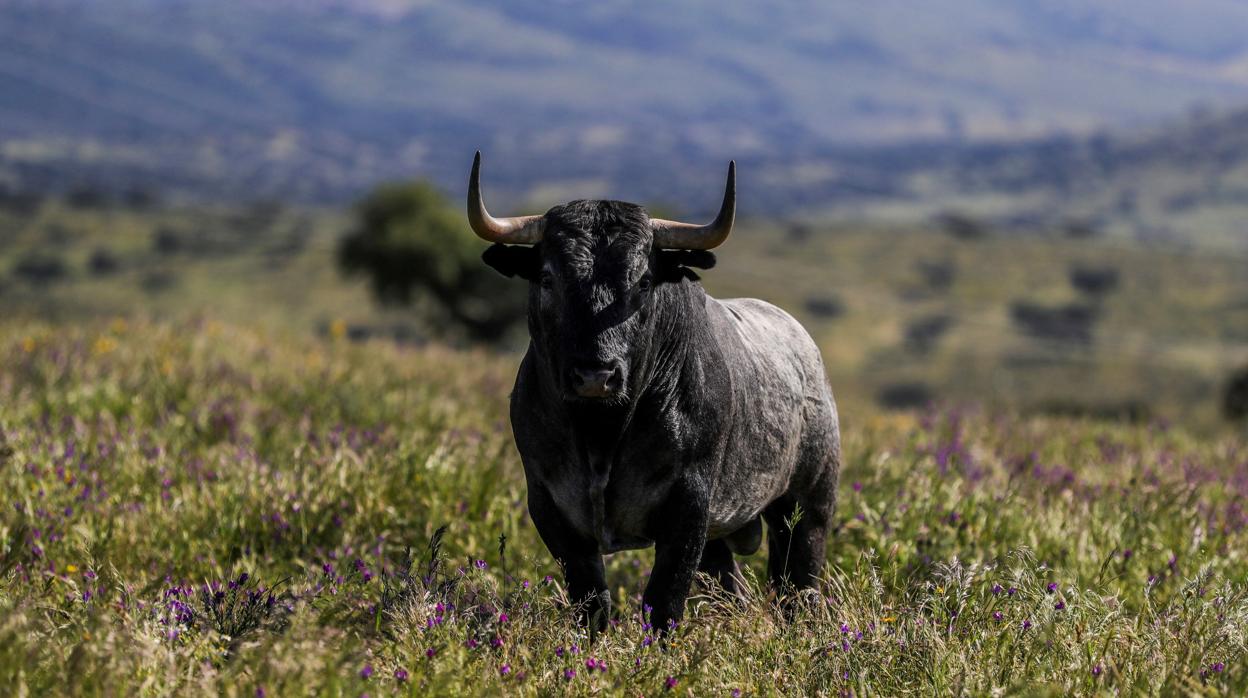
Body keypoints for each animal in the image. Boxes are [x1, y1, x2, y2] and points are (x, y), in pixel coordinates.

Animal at [471, 152, 843, 634]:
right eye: (549, 279)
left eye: (644, 281)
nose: (596, 375)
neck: (601, 434)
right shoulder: (550, 506)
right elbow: (592, 602)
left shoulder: (688, 506)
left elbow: (663, 600)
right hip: (726, 538)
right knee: (736, 590)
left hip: (807, 506)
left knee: (799, 586)